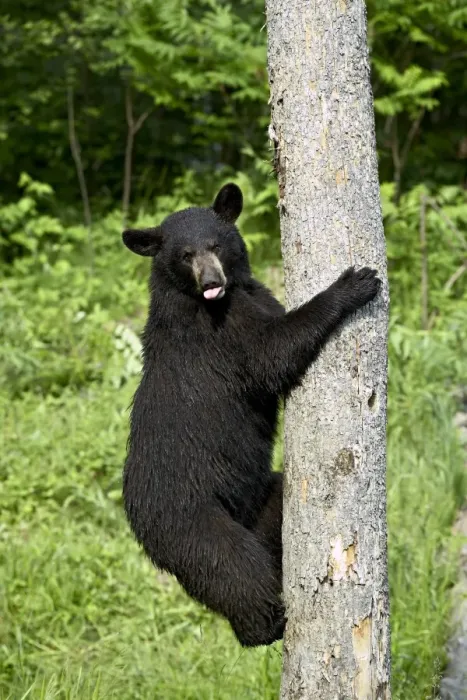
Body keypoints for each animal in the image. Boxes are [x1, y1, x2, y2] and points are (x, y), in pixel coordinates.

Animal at [121, 183, 381, 647]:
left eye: (215, 244)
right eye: (184, 254)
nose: (212, 282)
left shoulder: (250, 296)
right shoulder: (220, 334)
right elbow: (273, 351)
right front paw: (353, 284)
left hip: (258, 499)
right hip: (191, 519)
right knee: (233, 567)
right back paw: (265, 625)